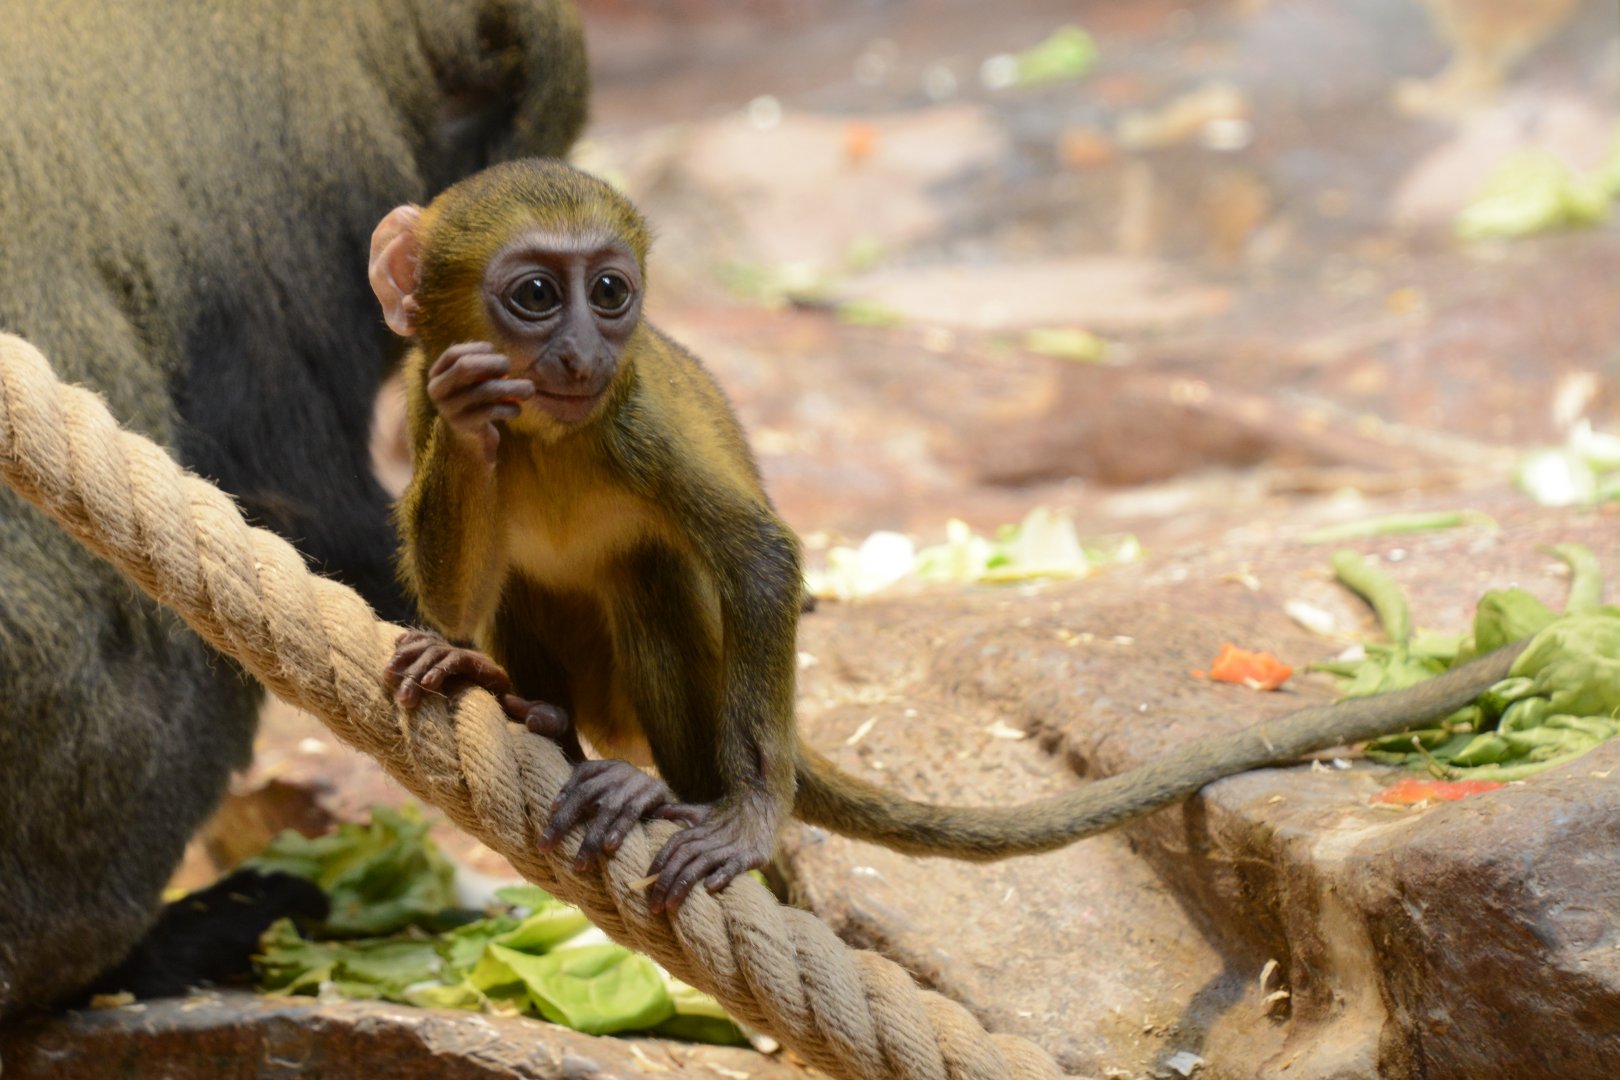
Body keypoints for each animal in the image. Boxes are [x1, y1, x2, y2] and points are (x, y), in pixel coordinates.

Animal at [373, 158, 1539, 915]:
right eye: (536, 295)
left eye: (609, 292)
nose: (580, 351)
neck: (552, 433)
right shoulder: (423, 397)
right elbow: (460, 580)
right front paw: (460, 542)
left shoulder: (634, 414)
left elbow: (759, 557)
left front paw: (748, 818)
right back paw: (533, 709)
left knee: (654, 573)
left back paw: (663, 788)